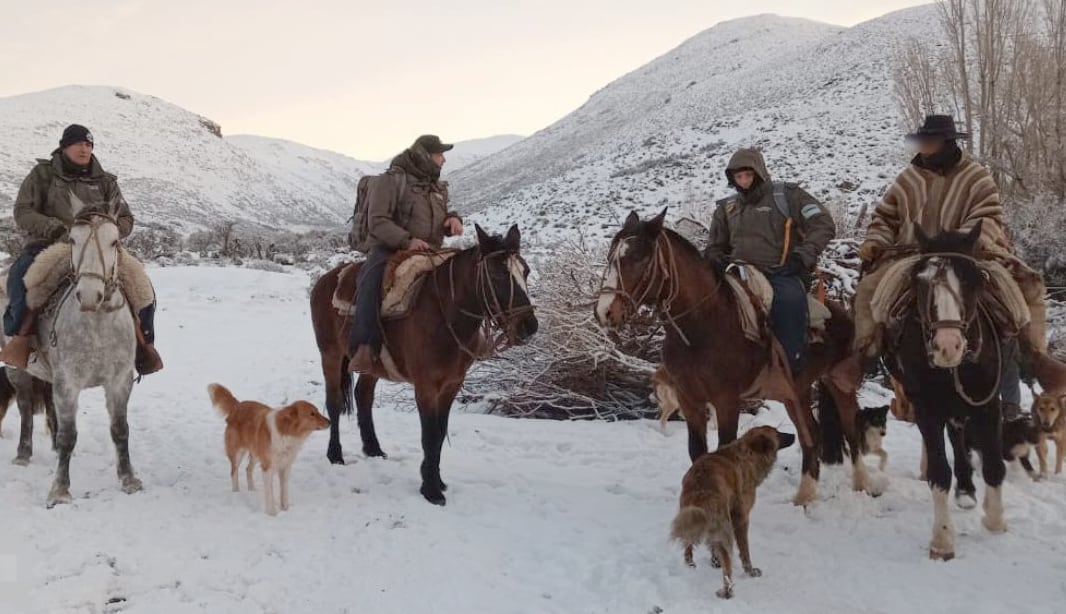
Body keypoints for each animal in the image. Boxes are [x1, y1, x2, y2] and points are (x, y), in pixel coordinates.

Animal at [20, 198, 140, 507]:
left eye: (114, 241)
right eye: (72, 239)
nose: (88, 296)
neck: (97, 323)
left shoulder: (120, 381)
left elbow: (120, 429)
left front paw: (129, 479)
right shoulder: (68, 383)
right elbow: (68, 434)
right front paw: (60, 490)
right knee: (26, 408)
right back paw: (22, 454)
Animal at [205, 385, 326, 515]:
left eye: (317, 411)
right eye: (312, 414)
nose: (329, 422)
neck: (287, 431)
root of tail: (238, 405)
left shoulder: (285, 466)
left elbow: (284, 491)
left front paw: (285, 509)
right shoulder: (268, 467)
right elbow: (269, 492)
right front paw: (272, 513)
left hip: (255, 453)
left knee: (248, 469)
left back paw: (252, 490)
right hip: (238, 453)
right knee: (234, 472)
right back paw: (236, 493)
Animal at [311, 223, 541, 503]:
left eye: (526, 271)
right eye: (497, 274)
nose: (528, 326)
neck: (446, 316)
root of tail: (324, 280)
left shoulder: (452, 385)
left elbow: (440, 433)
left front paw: (436, 480)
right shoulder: (426, 386)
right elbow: (429, 435)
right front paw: (430, 489)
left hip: (370, 364)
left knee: (363, 396)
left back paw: (373, 449)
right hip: (330, 355)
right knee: (333, 403)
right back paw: (335, 455)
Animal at [596, 209, 869, 503]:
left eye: (639, 258)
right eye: (611, 256)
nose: (605, 311)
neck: (702, 326)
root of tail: (841, 312)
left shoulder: (726, 401)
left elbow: (724, 451)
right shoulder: (690, 400)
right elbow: (698, 452)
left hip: (839, 383)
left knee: (851, 430)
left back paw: (862, 486)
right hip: (795, 392)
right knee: (811, 434)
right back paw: (804, 496)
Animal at [669, 426, 797, 601]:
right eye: (778, 433)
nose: (794, 435)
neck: (748, 452)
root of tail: (701, 489)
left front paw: (714, 560)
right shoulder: (741, 519)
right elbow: (745, 551)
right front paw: (750, 571)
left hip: (688, 514)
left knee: (689, 543)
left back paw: (690, 564)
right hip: (724, 528)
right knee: (727, 567)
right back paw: (727, 592)